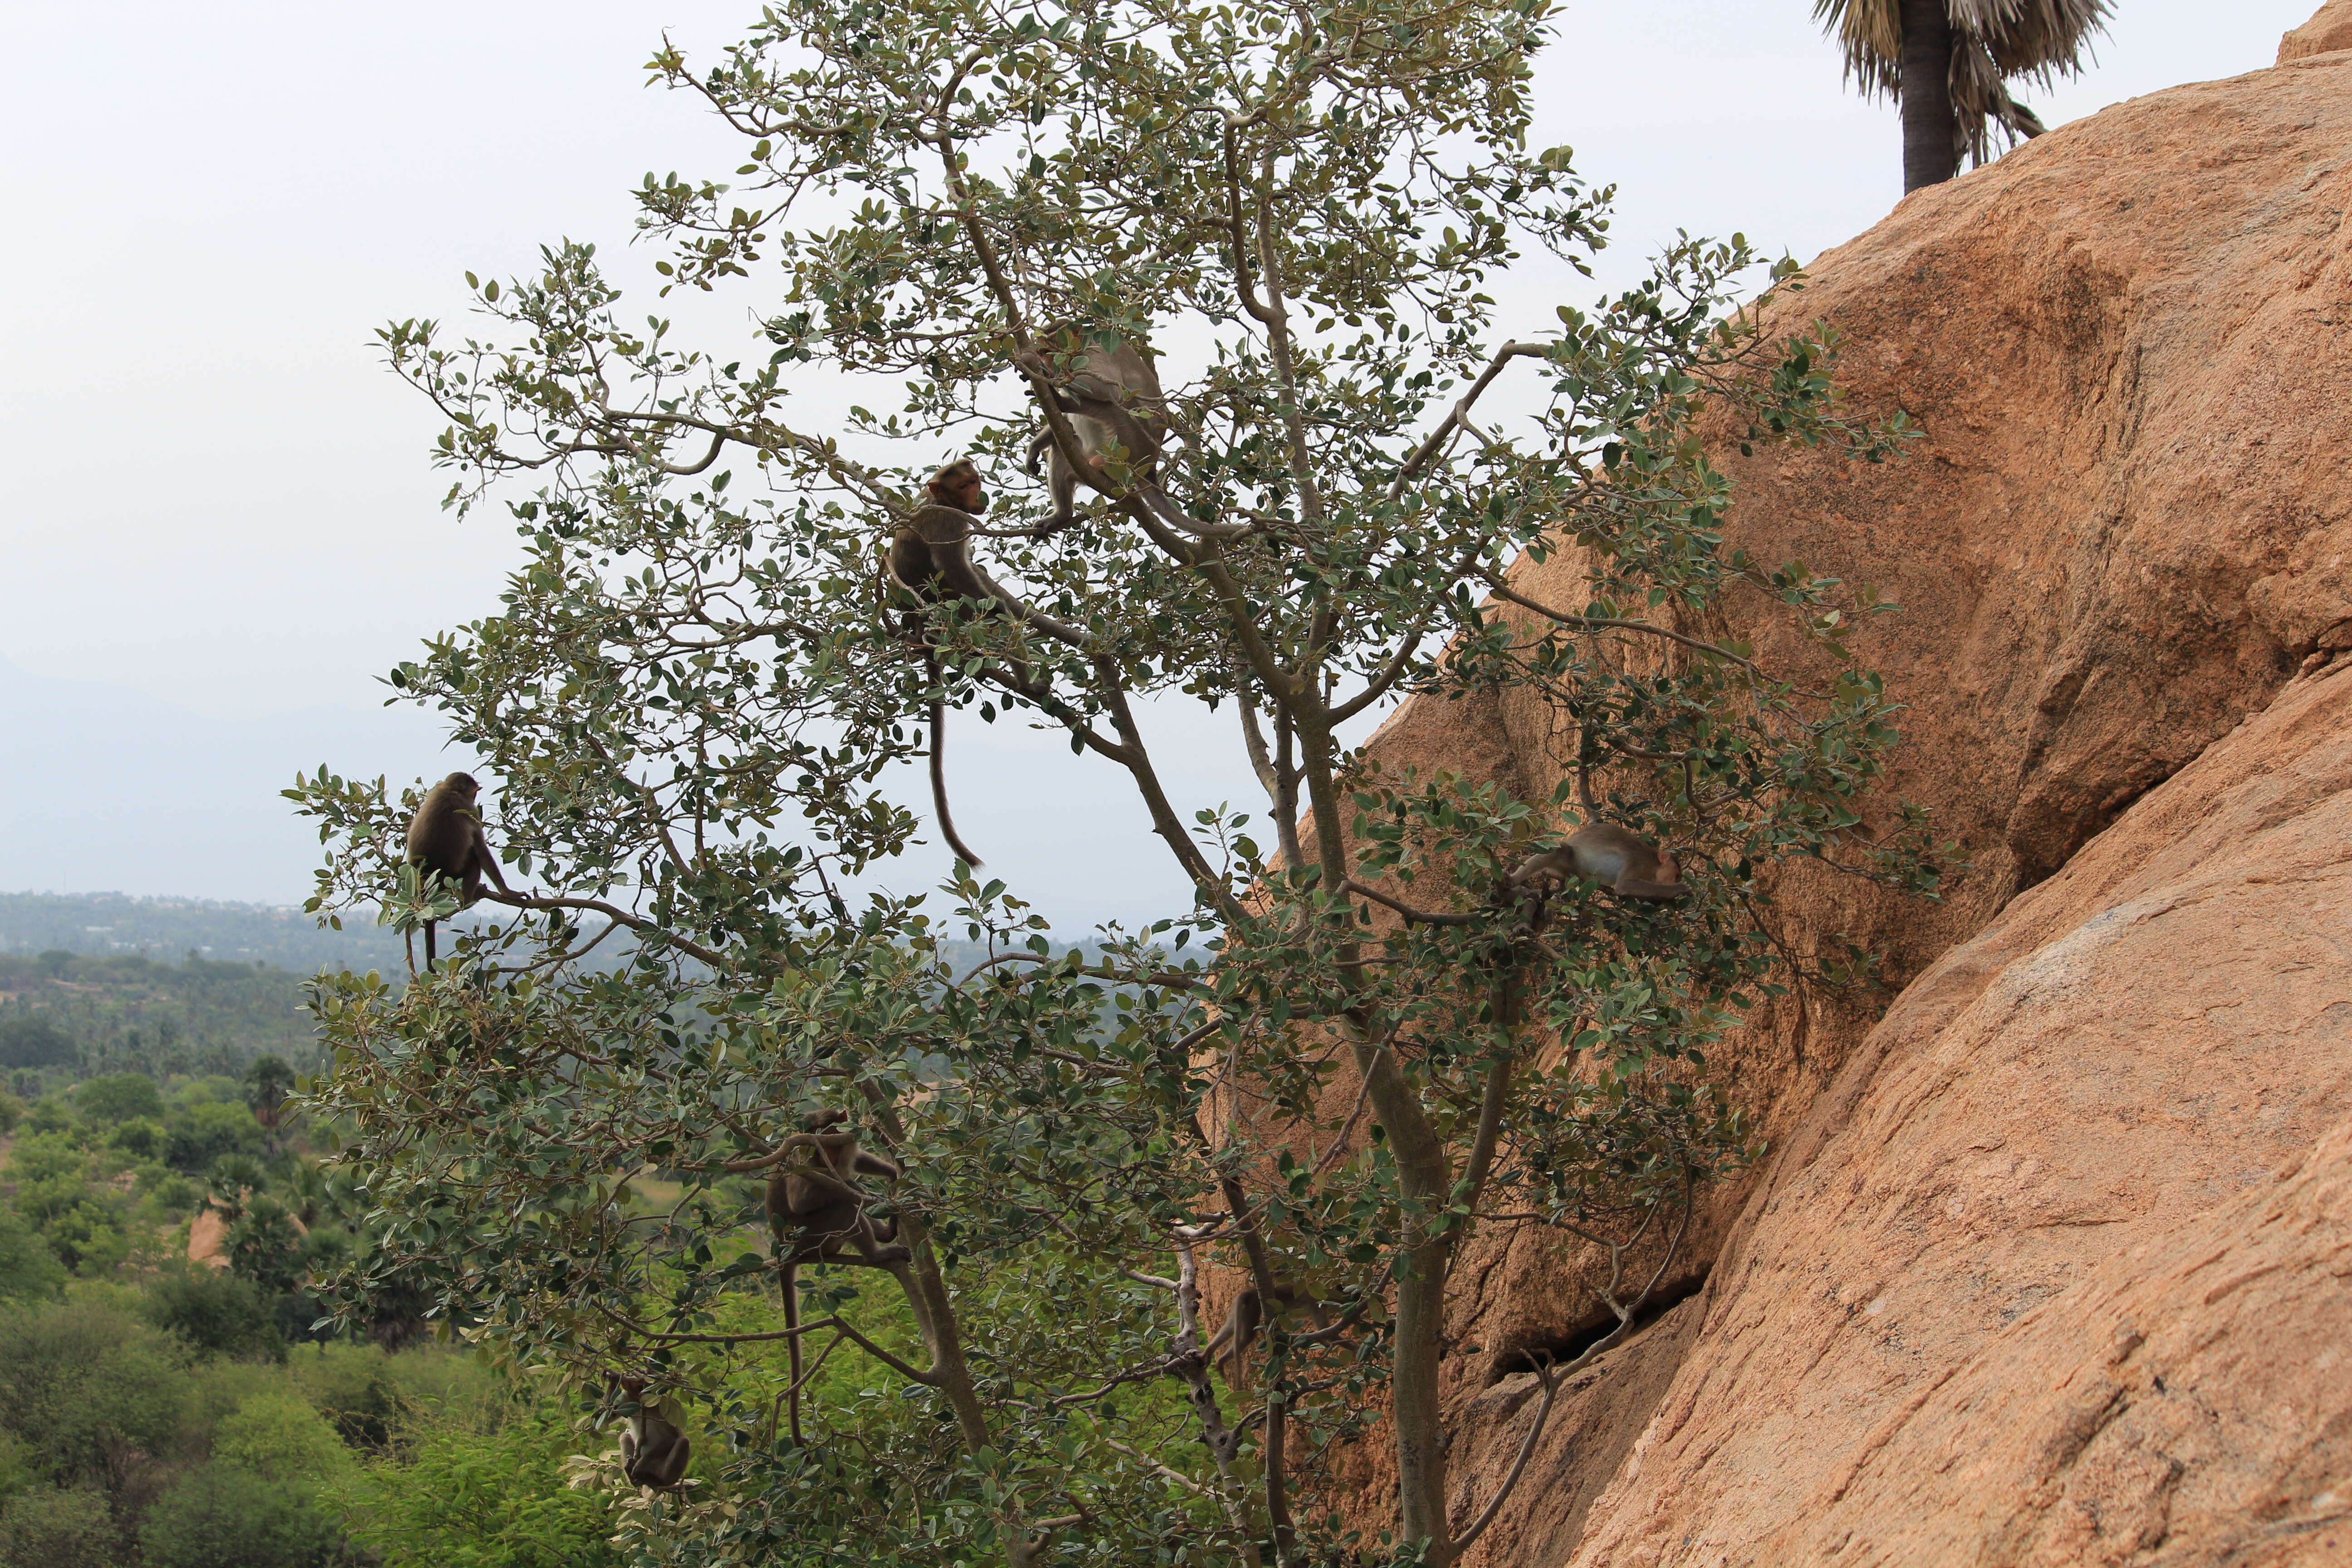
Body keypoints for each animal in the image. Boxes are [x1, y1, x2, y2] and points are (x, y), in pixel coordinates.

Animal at [404, 771, 515, 968]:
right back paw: (470, 899)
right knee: (475, 862)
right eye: (474, 793)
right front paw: (508, 892)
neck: (451, 790)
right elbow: (481, 850)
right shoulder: (468, 808)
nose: (475, 796)